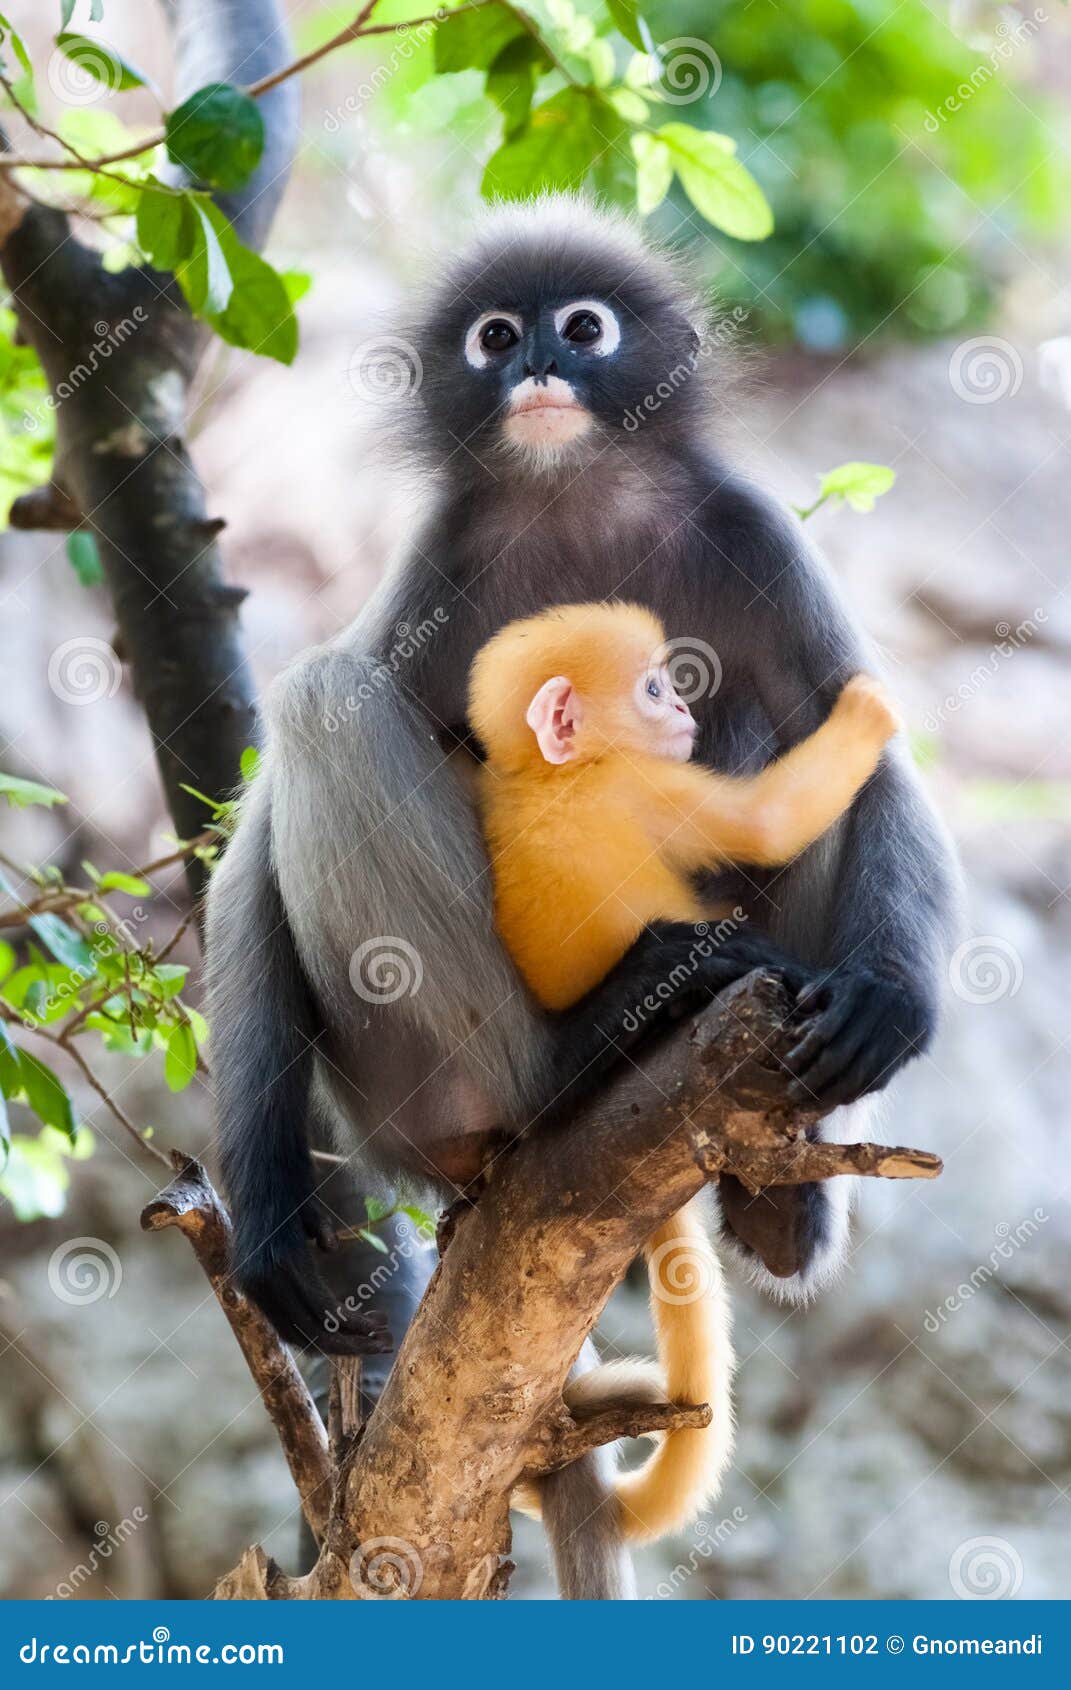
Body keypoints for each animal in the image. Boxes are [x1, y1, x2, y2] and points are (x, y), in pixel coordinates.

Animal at [466, 601, 898, 1548]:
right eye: (654, 689)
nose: (683, 713)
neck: (542, 775)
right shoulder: (639, 785)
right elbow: (768, 822)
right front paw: (870, 706)